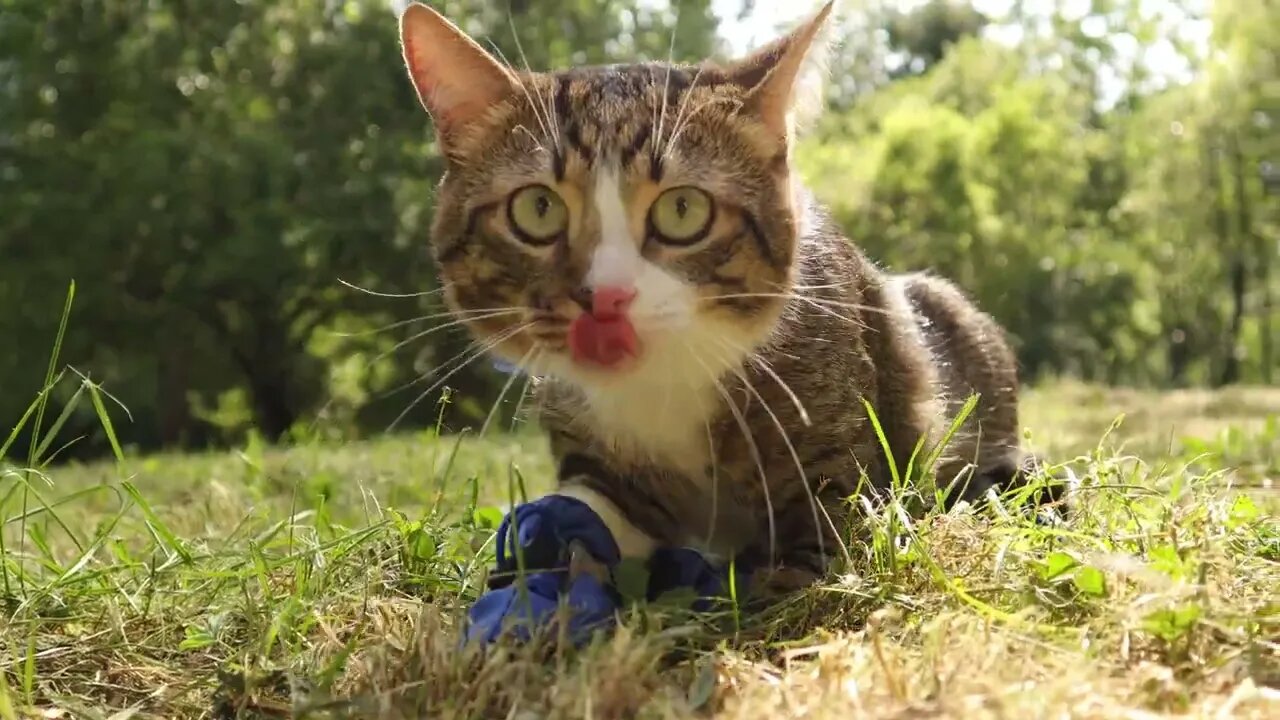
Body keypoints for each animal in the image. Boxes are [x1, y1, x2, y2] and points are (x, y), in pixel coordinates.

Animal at [396, 1, 1049, 594]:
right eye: (537, 209)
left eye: (683, 210)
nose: (605, 298)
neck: (661, 385)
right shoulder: (591, 446)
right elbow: (588, 515)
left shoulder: (846, 451)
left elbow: (820, 541)